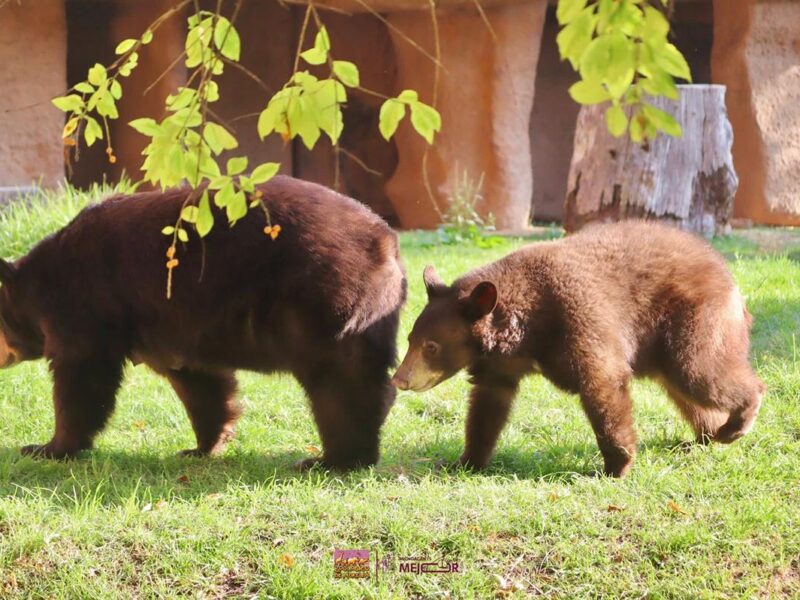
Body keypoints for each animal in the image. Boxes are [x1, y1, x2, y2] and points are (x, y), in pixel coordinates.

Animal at [0, 173, 404, 468]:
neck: (38, 285)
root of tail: (385, 238)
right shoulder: (176, 326)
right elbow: (200, 382)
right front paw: (203, 445)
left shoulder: (86, 302)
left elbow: (82, 374)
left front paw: (48, 446)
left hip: (322, 297)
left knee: (337, 379)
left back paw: (336, 458)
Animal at [390, 220, 764, 478]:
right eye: (409, 339)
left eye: (431, 346)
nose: (399, 379)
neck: (525, 323)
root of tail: (731, 280)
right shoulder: (500, 363)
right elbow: (488, 404)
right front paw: (465, 461)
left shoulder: (579, 317)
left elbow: (601, 382)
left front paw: (617, 464)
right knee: (687, 390)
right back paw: (708, 435)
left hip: (694, 319)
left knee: (702, 372)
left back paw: (736, 424)